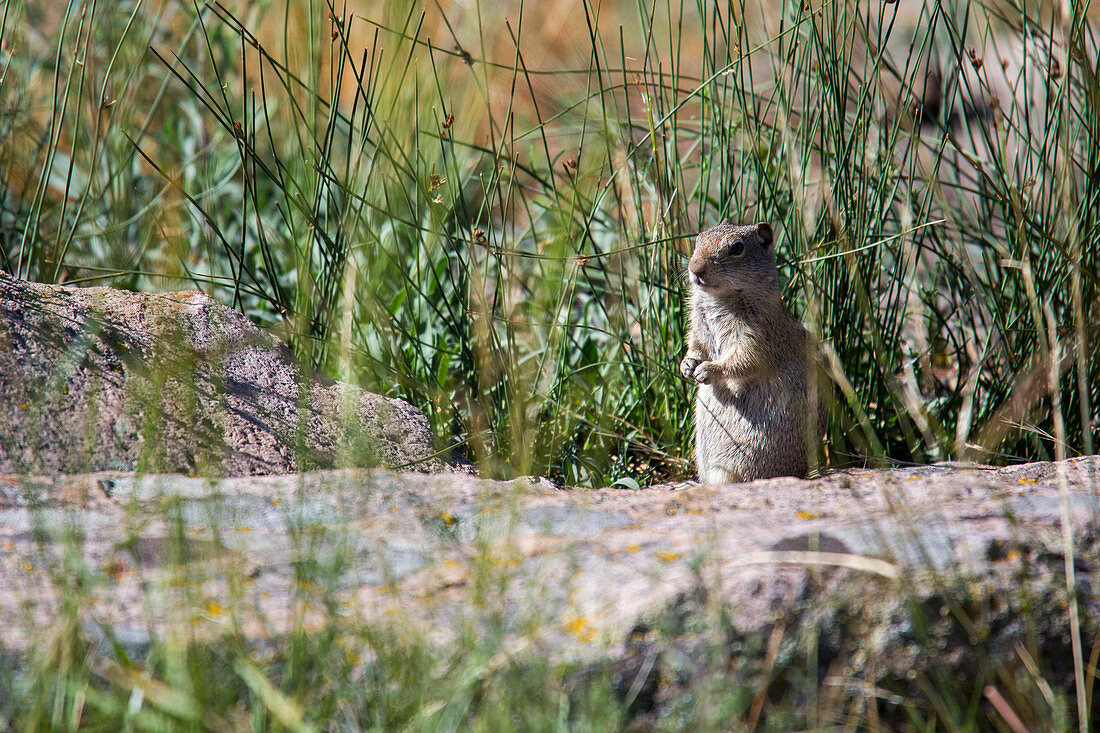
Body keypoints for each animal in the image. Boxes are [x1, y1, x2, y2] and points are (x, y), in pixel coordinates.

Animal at [677, 217, 818, 479]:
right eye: (698, 238)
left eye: (737, 248)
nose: (695, 268)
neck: (718, 298)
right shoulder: (698, 328)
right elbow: (695, 346)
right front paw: (687, 365)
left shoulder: (758, 337)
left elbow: (743, 361)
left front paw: (708, 370)